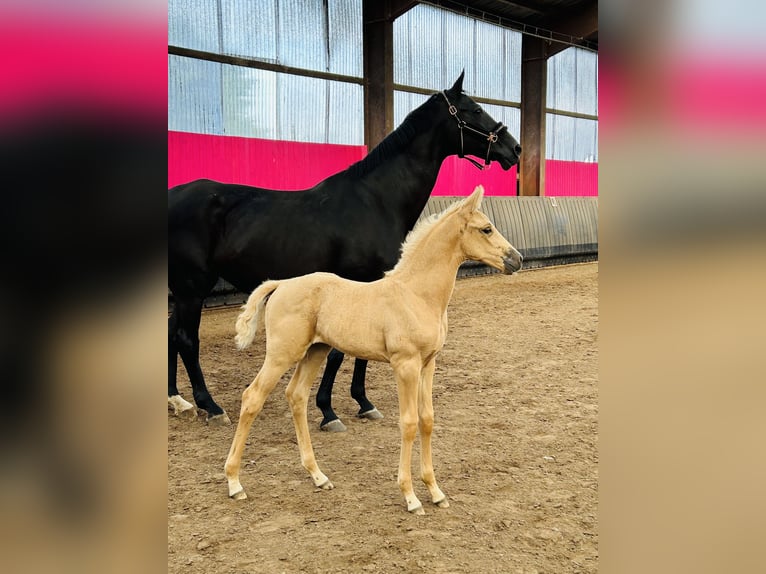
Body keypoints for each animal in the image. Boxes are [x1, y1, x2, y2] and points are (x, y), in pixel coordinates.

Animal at [170, 72, 520, 430]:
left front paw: (362, 402)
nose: (514, 148)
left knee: (172, 336)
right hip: (191, 289)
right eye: (473, 110)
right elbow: (340, 352)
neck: (375, 201)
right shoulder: (357, 282)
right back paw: (210, 406)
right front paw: (329, 410)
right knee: (186, 339)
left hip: (183, 291)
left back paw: (178, 401)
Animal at [222, 187, 520, 516]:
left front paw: (436, 491)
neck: (416, 294)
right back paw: (234, 483)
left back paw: (318, 476)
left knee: (296, 396)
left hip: (316, 351)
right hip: (281, 354)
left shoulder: (428, 364)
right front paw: (411, 497)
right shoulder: (405, 365)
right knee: (252, 398)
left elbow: (427, 420)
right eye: (486, 229)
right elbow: (409, 423)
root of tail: (281, 284)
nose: (517, 259)